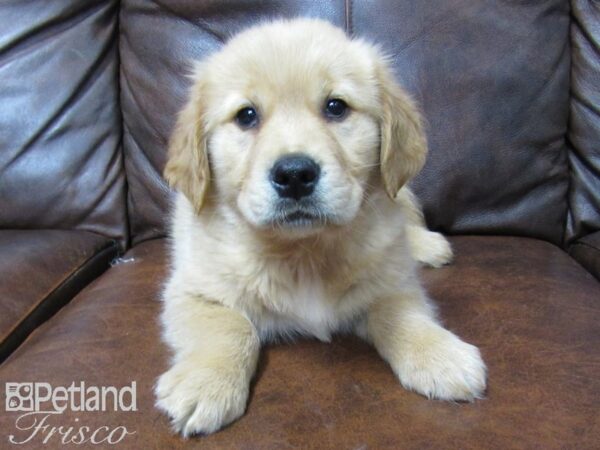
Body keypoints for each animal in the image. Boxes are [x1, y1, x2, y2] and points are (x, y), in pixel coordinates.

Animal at [155, 18, 482, 436]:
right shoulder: (192, 291)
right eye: (246, 116)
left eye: (336, 107)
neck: (303, 251)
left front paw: (441, 355)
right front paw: (206, 383)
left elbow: (402, 313)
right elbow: (231, 325)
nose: (295, 175)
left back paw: (428, 246)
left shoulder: (393, 282)